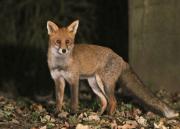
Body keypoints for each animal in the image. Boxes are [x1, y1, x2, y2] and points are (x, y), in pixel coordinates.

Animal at [46, 19, 179, 118]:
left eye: (68, 41)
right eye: (58, 41)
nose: (64, 50)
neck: (60, 63)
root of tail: (121, 58)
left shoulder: (74, 79)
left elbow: (74, 100)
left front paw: (73, 114)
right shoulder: (58, 80)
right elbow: (59, 99)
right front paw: (57, 113)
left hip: (106, 84)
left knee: (113, 101)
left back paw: (109, 117)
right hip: (95, 84)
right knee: (105, 101)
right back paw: (99, 116)